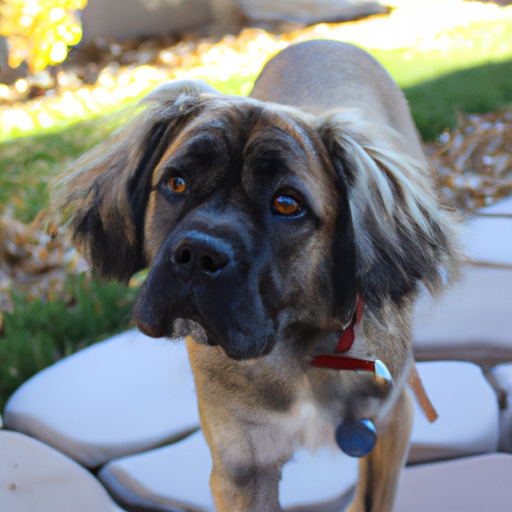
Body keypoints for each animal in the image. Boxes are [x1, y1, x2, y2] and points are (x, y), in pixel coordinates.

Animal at [50, 41, 462, 512]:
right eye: (176, 183)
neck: (297, 349)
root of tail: (323, 40)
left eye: (287, 203)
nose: (199, 255)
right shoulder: (241, 470)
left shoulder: (391, 422)